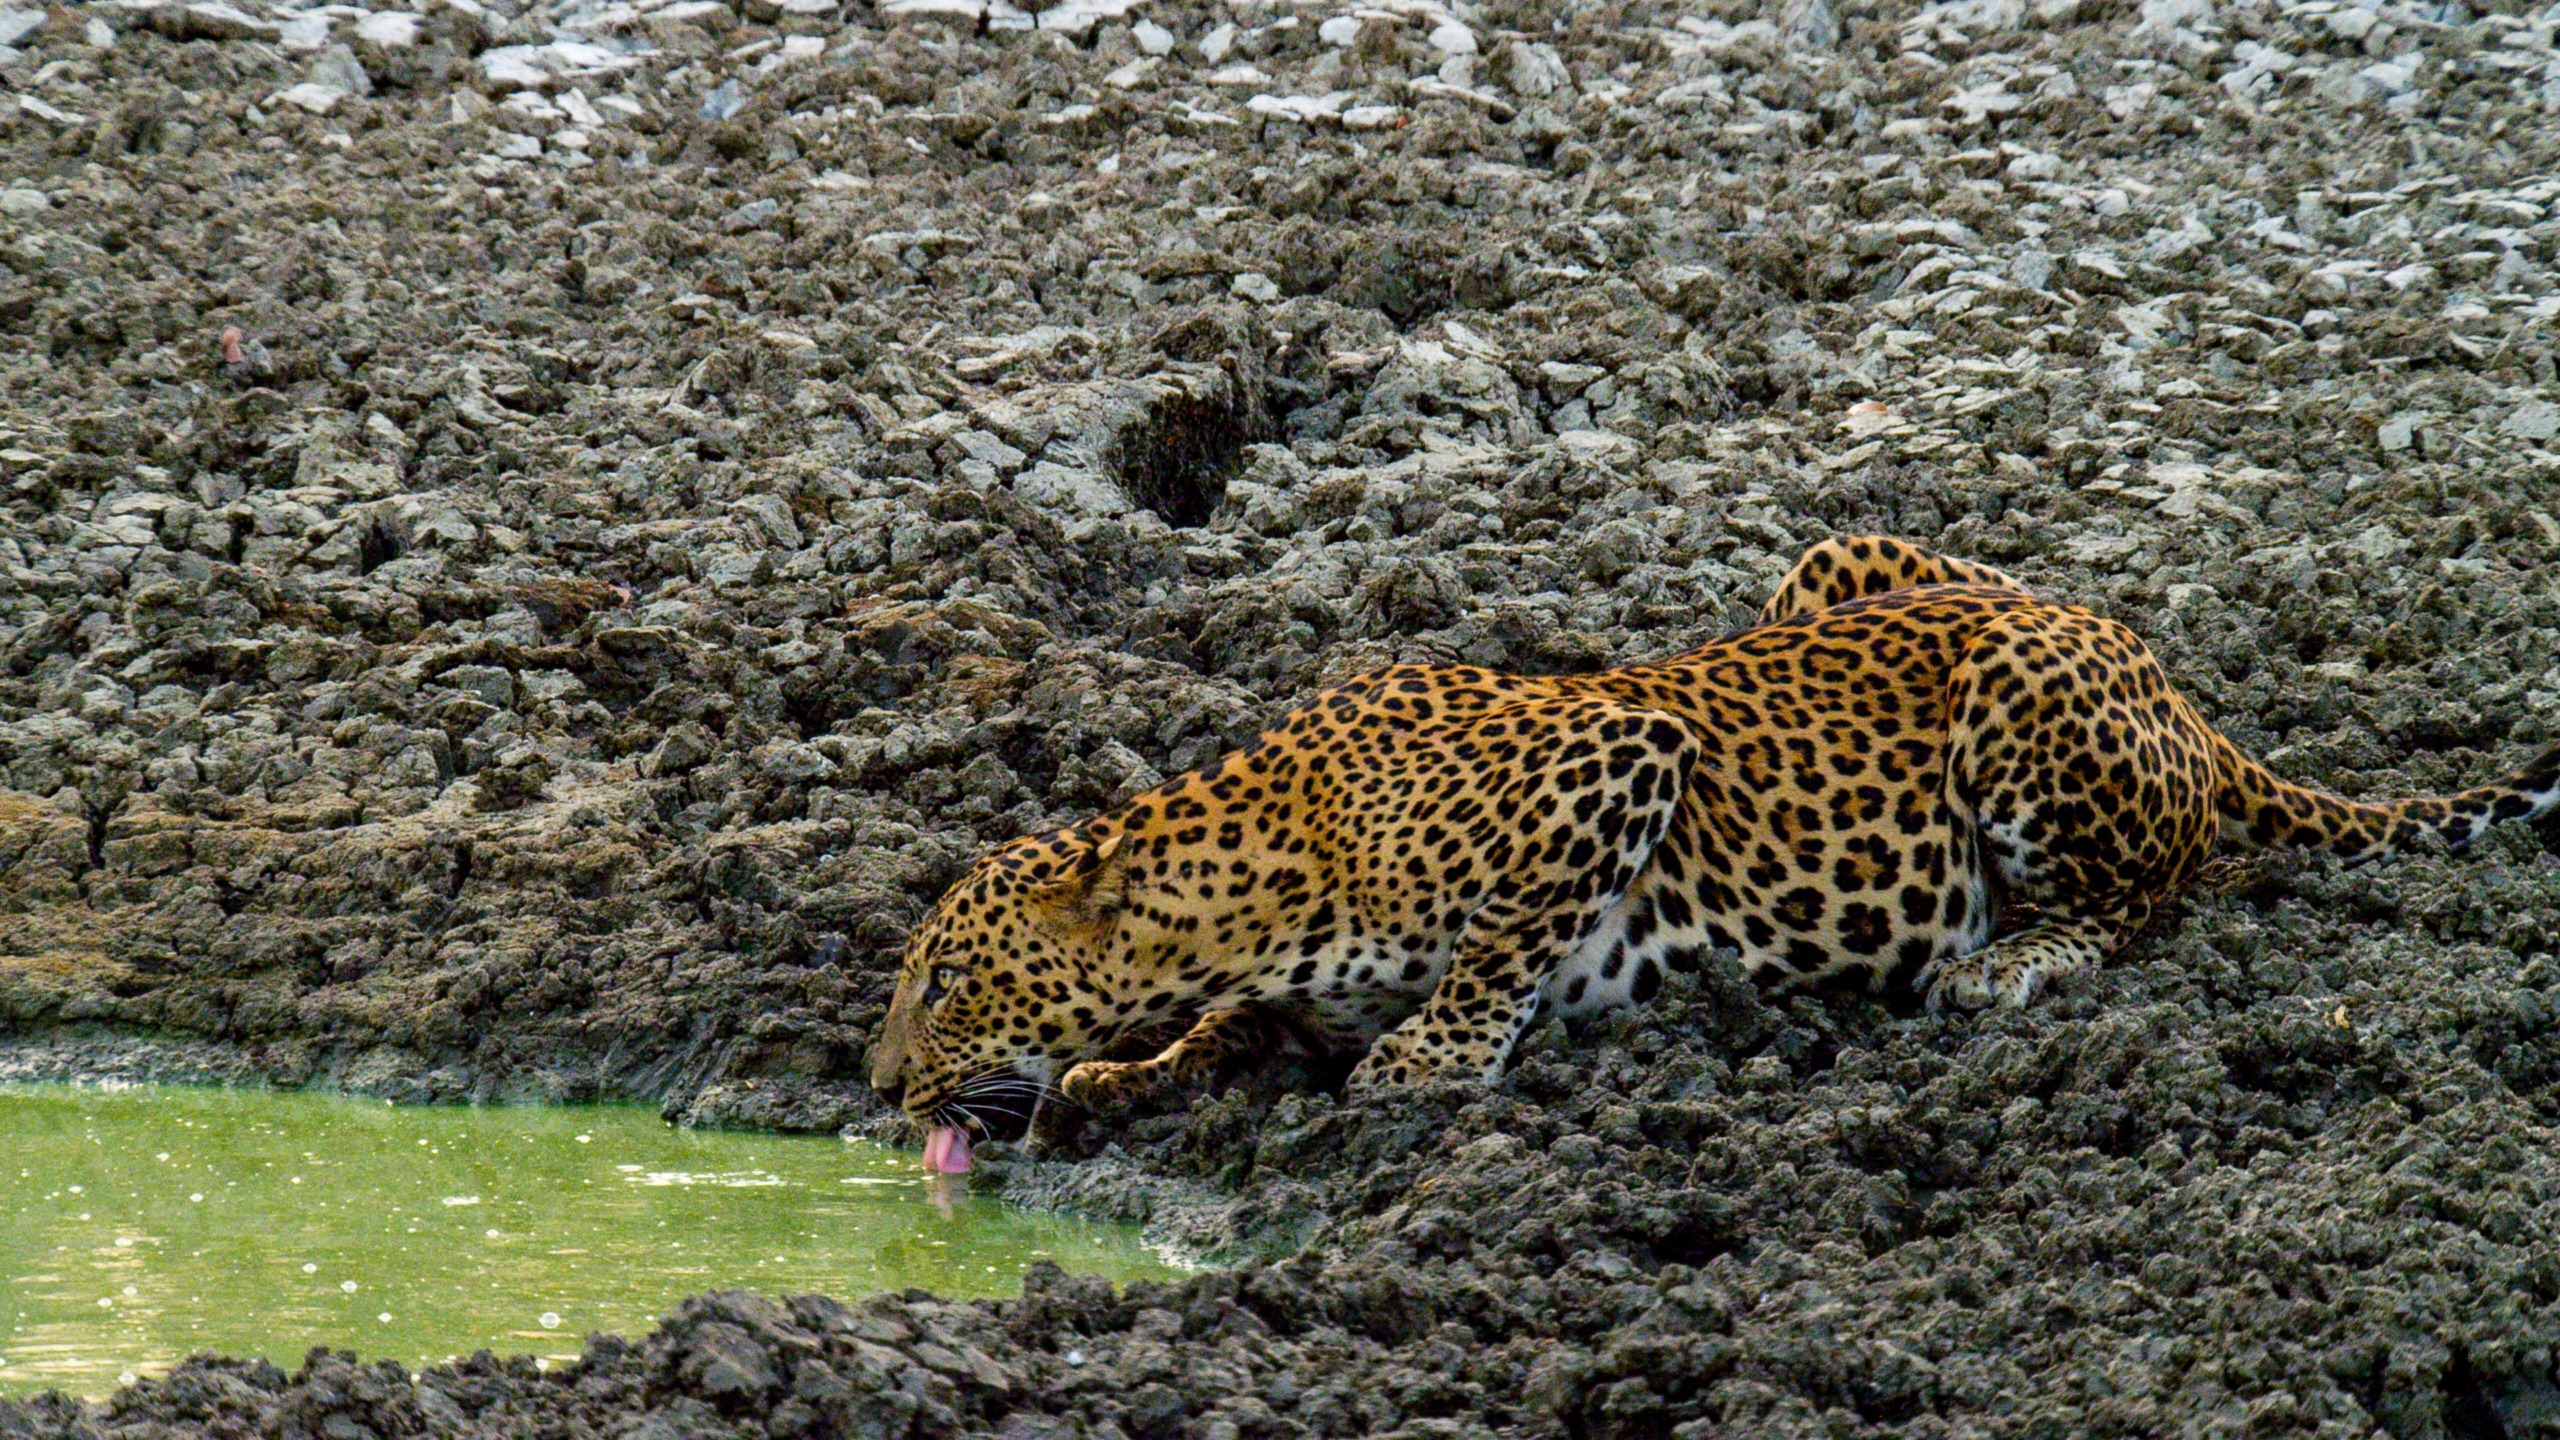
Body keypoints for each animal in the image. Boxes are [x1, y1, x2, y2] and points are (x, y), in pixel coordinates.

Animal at [865, 532, 2560, 1127]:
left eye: (945, 983)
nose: (877, 1084)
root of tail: (2178, 686)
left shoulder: (1619, 753)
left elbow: (1504, 940)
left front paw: (1429, 1055)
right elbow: (1229, 1027)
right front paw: (1139, 1064)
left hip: (2024, 699)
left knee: (2152, 888)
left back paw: (2016, 960)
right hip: (1836, 562)